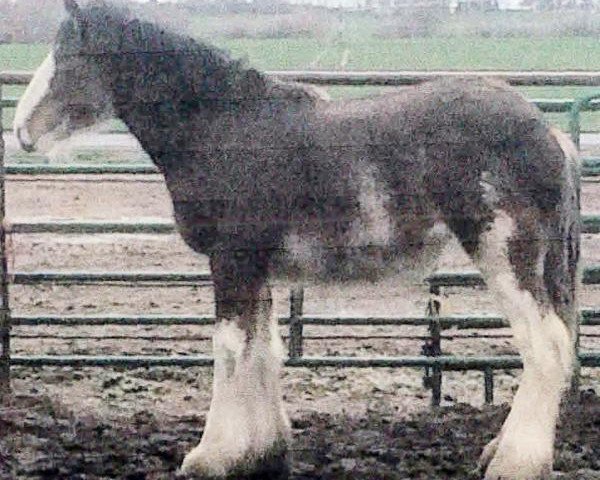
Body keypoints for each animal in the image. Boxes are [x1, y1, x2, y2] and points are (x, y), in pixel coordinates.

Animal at [14, 1, 580, 478]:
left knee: (545, 347)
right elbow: (262, 351)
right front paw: (263, 454)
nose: (21, 131)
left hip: (506, 255)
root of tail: (551, 135)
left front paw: (210, 456)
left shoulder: (232, 262)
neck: (223, 129)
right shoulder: (257, 269)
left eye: (68, 56)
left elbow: (230, 350)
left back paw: (513, 462)